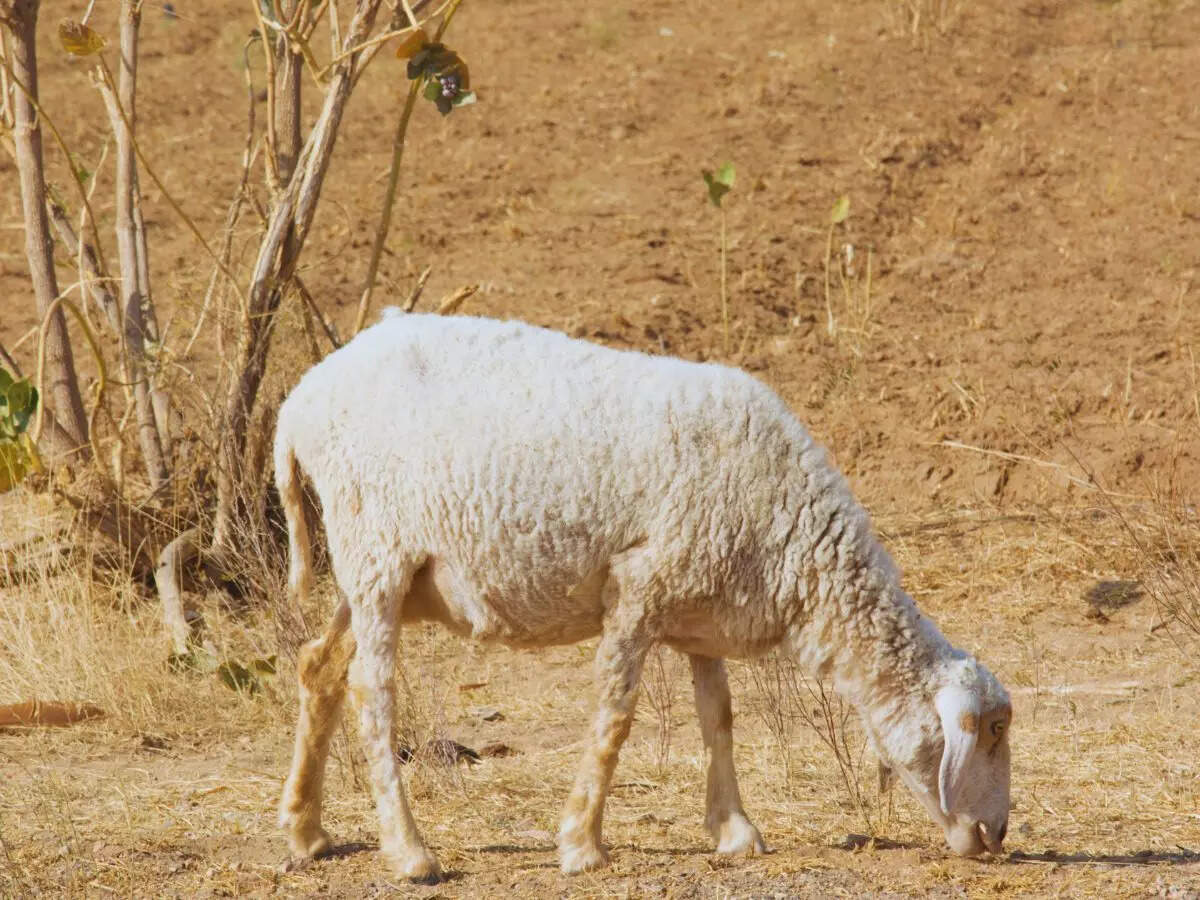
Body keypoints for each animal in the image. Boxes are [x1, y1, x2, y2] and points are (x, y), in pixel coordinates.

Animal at [273, 311, 1012, 881]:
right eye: (991, 731)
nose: (997, 836)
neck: (797, 541)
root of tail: (298, 402)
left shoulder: (701, 605)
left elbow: (719, 717)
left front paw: (735, 830)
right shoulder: (638, 587)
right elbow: (615, 719)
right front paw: (581, 843)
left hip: (375, 572)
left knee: (319, 665)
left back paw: (306, 830)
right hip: (376, 546)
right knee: (373, 692)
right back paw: (409, 852)